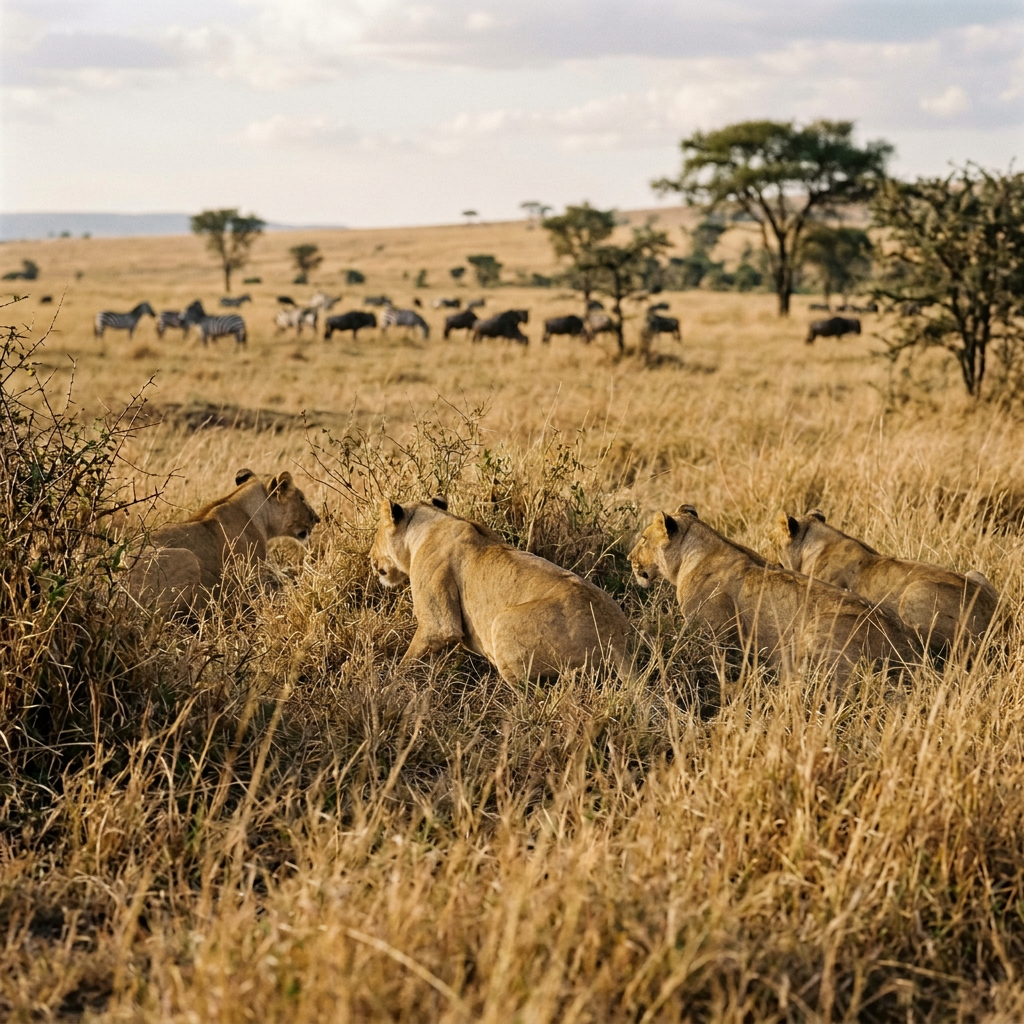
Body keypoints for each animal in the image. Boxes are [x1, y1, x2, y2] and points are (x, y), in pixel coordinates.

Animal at [370, 497, 631, 682]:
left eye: (376, 534)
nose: (370, 558)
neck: (435, 521)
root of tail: (617, 641)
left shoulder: (439, 625)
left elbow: (413, 655)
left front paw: (391, 683)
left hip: (502, 623)